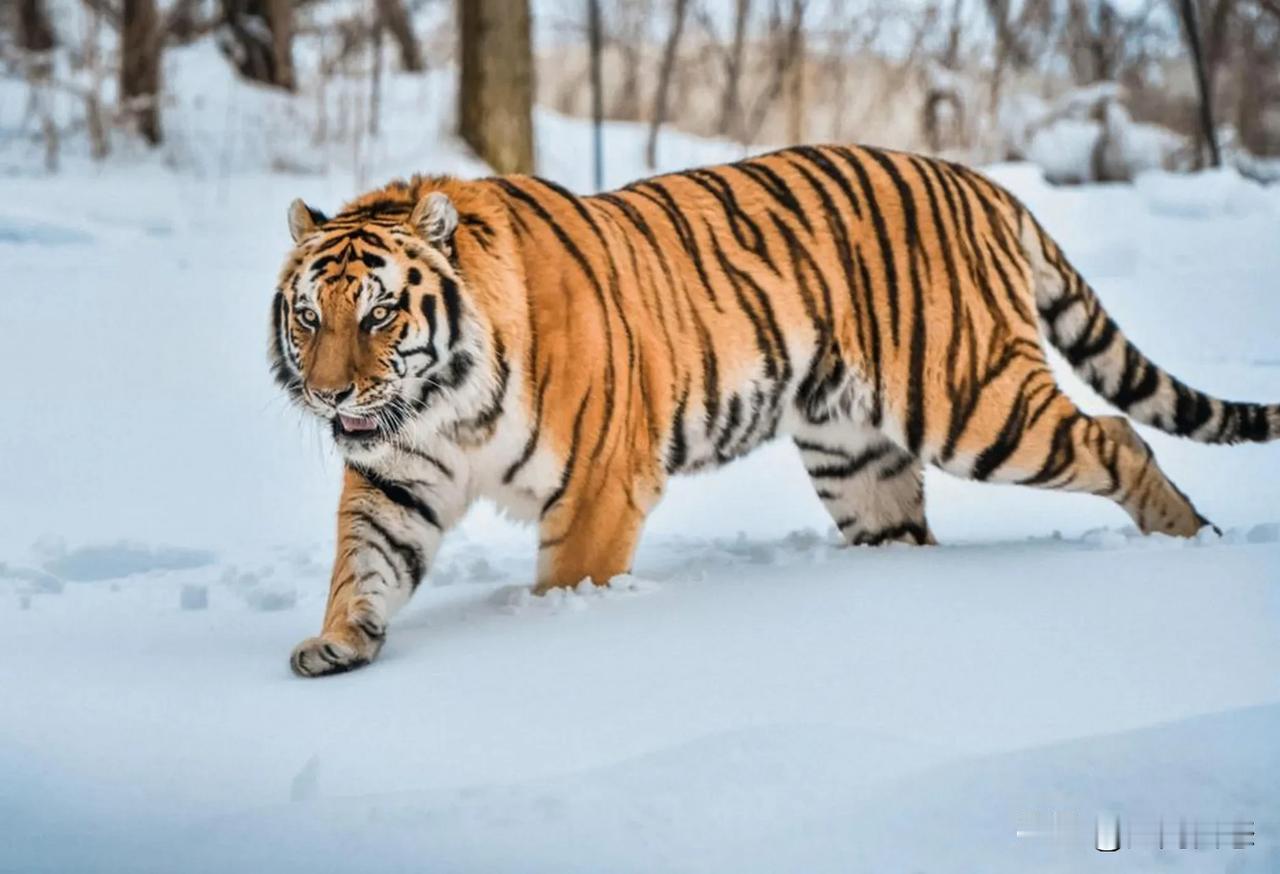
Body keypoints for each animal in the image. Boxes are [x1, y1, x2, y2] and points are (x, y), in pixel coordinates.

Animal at [272, 143, 1280, 675]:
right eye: (308, 316)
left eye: (380, 314)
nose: (328, 393)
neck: (443, 406)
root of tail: (982, 181)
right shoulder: (396, 477)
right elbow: (363, 563)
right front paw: (338, 644)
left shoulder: (597, 486)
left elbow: (568, 583)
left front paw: (563, 637)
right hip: (857, 457)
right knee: (909, 535)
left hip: (976, 405)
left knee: (1117, 434)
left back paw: (1189, 540)